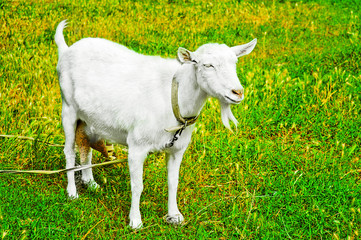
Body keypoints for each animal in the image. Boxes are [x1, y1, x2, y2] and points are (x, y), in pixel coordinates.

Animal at [54, 20, 256, 229]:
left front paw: (174, 216)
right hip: (68, 108)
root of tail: (66, 49)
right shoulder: (137, 147)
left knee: (86, 146)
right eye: (208, 65)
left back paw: (90, 183)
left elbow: (173, 182)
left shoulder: (177, 149)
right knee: (69, 150)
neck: (173, 97)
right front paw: (135, 221)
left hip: (89, 118)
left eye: (235, 63)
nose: (237, 92)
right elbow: (137, 185)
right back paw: (72, 192)